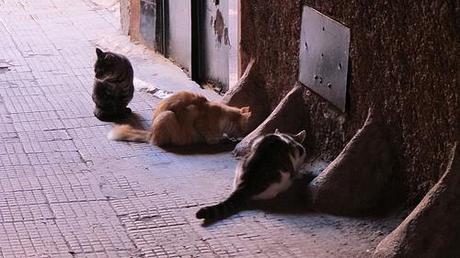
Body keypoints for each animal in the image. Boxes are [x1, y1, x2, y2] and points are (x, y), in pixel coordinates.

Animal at [108, 91, 252, 146]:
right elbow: (211, 138)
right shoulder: (196, 117)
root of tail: (150, 133)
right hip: (167, 115)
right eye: (244, 128)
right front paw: (221, 139)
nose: (245, 134)